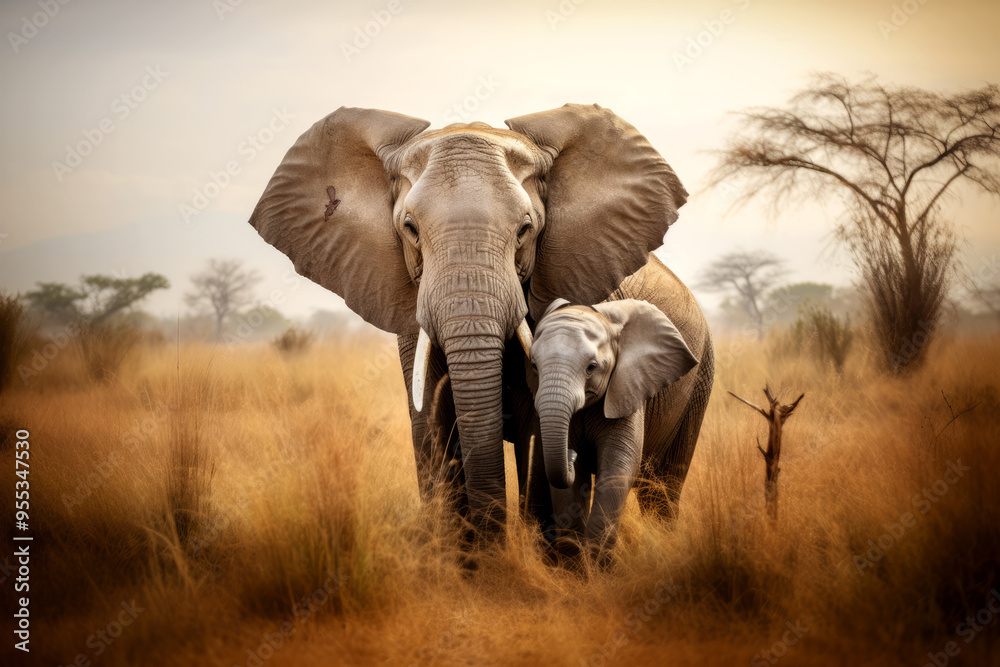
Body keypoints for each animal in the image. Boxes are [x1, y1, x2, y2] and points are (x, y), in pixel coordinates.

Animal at [528, 276, 713, 556]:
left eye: (592, 367)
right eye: (534, 366)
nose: (571, 455)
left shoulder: (629, 385)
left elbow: (619, 465)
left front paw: (596, 559)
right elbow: (566, 485)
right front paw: (575, 560)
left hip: (700, 384)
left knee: (665, 486)